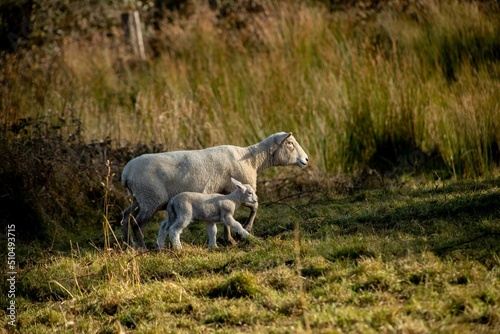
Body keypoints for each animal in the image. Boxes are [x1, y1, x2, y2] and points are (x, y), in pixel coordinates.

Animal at [121, 132, 308, 249]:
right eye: (290, 143)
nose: (306, 159)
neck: (253, 160)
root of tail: (126, 173)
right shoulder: (237, 189)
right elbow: (255, 207)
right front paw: (246, 229)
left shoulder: (225, 193)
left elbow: (226, 220)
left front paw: (229, 239)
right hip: (150, 198)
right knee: (137, 223)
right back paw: (142, 247)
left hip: (139, 198)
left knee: (126, 216)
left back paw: (126, 244)